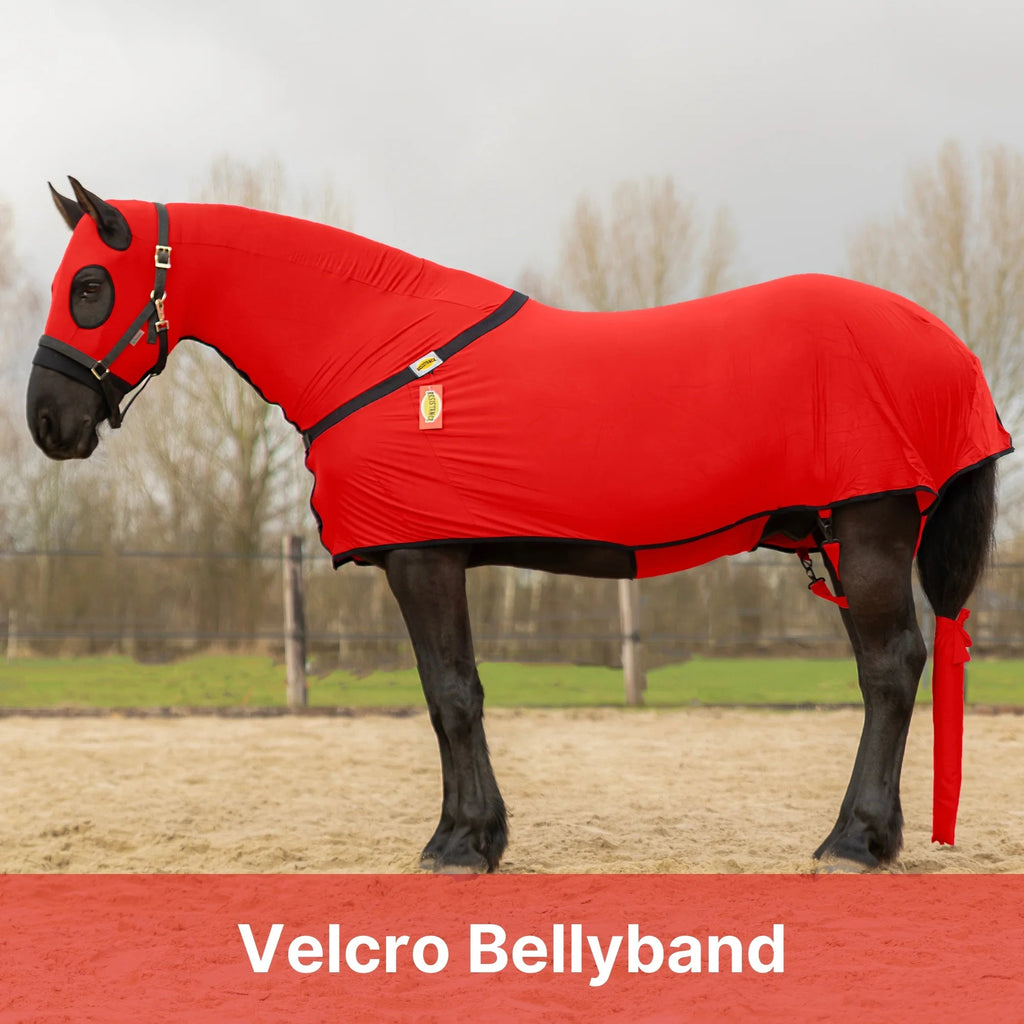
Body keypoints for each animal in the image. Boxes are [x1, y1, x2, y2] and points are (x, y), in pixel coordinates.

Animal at [27, 178, 1012, 873]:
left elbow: (451, 694)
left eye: (89, 285)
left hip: (870, 531)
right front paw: (478, 836)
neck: (381, 346)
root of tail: (939, 337)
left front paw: (460, 844)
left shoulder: (422, 557)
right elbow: (453, 695)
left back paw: (854, 842)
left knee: (890, 669)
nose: (47, 422)